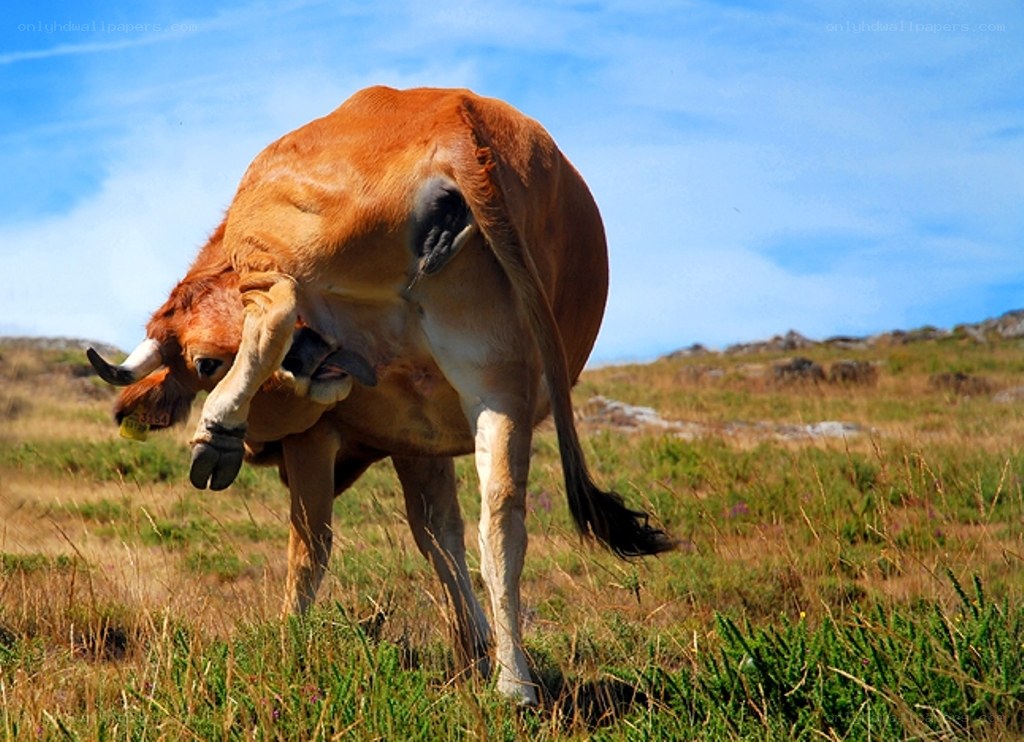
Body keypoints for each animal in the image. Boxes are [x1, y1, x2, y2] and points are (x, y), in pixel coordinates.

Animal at [87, 86, 674, 704]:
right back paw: (514, 682)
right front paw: (473, 648)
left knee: (276, 305)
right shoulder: (419, 438)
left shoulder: (315, 436)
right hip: (498, 385)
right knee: (502, 523)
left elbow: (311, 547)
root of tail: (457, 118)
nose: (314, 359)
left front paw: (287, 643)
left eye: (205, 364)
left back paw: (219, 430)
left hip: (271, 245)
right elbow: (441, 536)